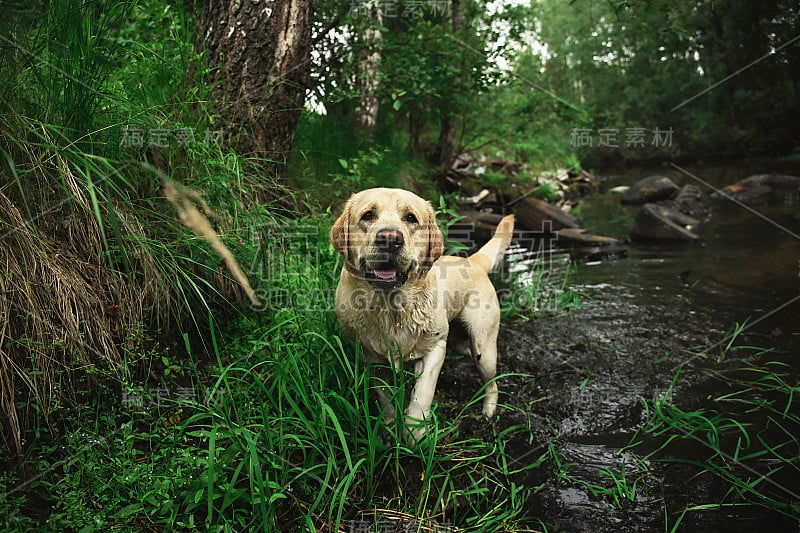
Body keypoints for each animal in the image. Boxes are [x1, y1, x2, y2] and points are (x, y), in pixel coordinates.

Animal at [330, 188, 512, 440]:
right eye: (368, 215)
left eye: (411, 218)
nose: (390, 238)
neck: (391, 307)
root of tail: (473, 261)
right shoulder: (373, 359)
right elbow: (386, 399)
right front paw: (389, 430)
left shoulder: (433, 349)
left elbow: (421, 395)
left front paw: (414, 434)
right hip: (459, 342)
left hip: (482, 347)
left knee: (492, 381)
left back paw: (488, 411)